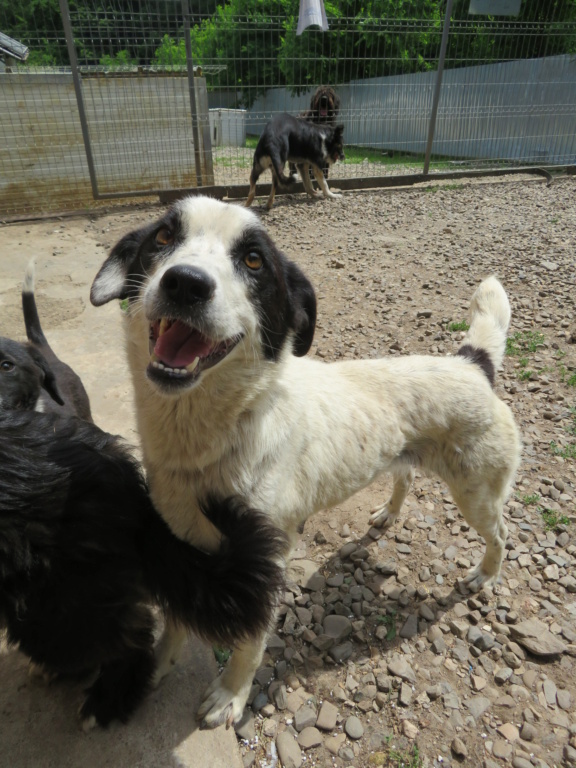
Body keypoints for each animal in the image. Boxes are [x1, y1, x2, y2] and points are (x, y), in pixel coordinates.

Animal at [90, 195, 520, 728]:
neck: (219, 432)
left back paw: (486, 574)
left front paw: (230, 696)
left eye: (254, 261)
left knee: (500, 533)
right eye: (164, 237)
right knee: (404, 476)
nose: (185, 282)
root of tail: (472, 362)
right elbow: (176, 619)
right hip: (410, 454)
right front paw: (159, 665)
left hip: (476, 492)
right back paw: (387, 514)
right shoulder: (182, 542)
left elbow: (249, 645)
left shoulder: (267, 561)